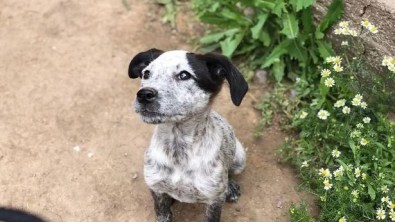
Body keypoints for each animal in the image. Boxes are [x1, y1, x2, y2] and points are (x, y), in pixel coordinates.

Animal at [129, 49, 248, 222]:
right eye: (146, 73)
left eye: (184, 75)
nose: (144, 94)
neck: (178, 148)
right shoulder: (156, 188)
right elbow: (161, 212)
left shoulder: (214, 200)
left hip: (240, 159)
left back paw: (230, 187)